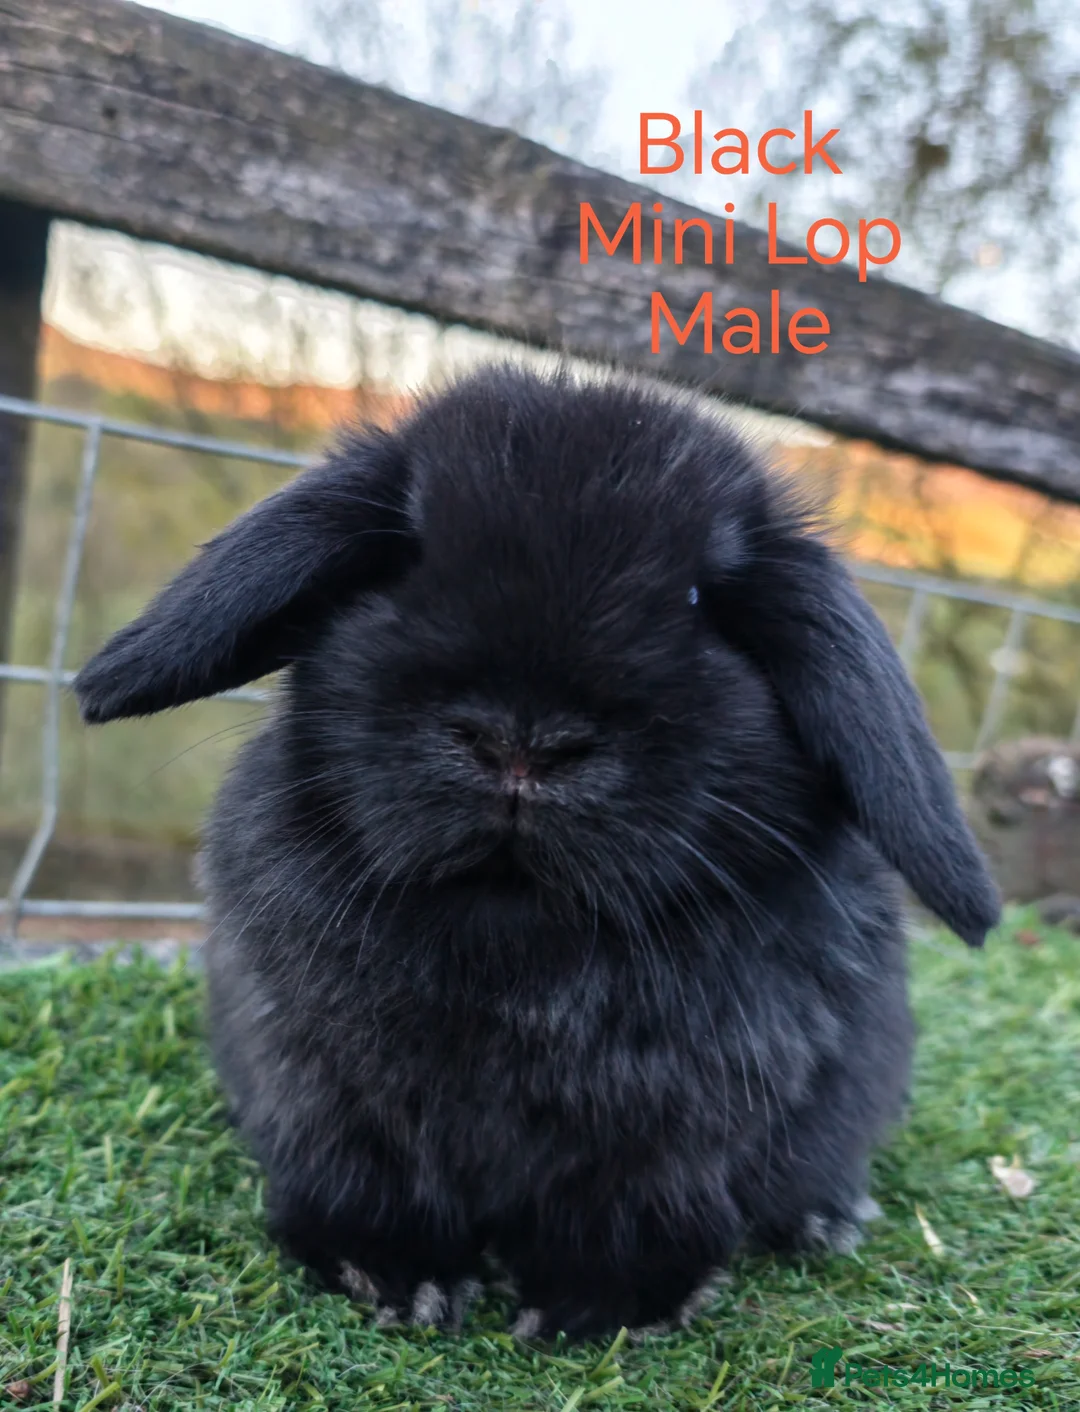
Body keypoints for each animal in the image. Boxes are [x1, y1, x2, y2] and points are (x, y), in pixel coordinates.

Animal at [73, 363, 1000, 1340]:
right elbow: (367, 1183)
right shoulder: (328, 1091)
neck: (514, 926)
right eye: (404, 557)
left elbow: (639, 1211)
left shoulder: (683, 1131)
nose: (520, 743)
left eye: (701, 601)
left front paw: (594, 1311)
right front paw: (400, 1281)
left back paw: (827, 1222)